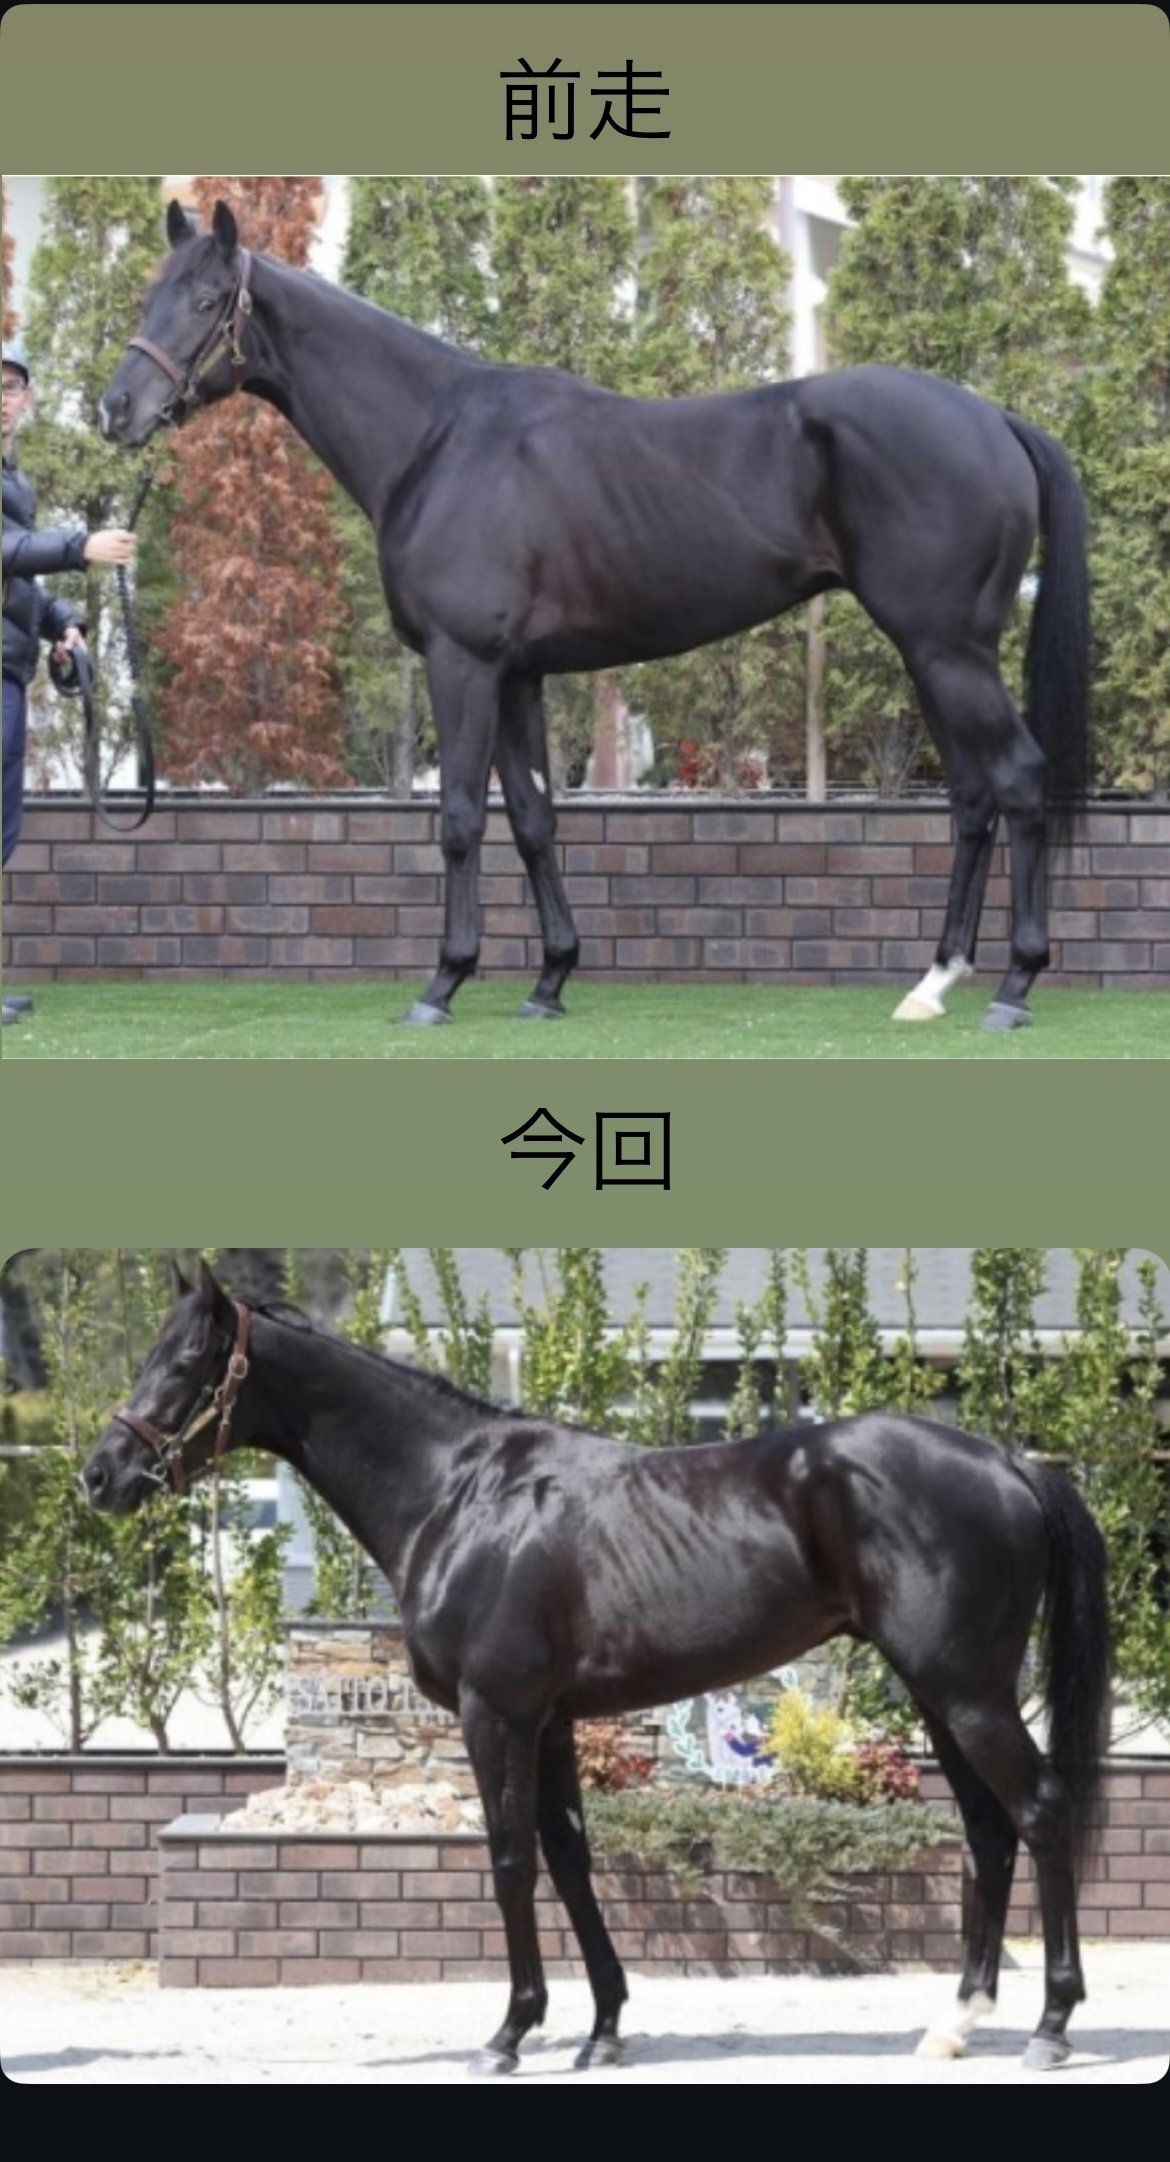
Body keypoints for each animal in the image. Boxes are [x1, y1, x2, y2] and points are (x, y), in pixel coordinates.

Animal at [82, 1262, 1110, 2076]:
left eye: (187, 1362)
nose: (101, 1476)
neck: (460, 1493)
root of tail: (1008, 1463)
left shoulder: (495, 1713)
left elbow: (509, 1859)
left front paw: (509, 2034)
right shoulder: (552, 1720)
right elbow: (572, 1857)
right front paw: (603, 2028)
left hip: (965, 1692)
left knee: (1040, 1810)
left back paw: (1052, 2025)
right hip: (941, 1692)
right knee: (988, 1830)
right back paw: (956, 2024)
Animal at [97, 199, 1090, 1034]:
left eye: (206, 298)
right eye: (151, 292)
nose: (116, 409)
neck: (439, 439)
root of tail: (994, 419)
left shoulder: (464, 663)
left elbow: (461, 818)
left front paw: (442, 984)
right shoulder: (518, 676)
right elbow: (536, 820)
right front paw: (549, 981)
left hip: (947, 648)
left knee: (1019, 780)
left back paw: (1013, 987)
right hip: (935, 653)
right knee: (972, 800)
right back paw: (933, 982)